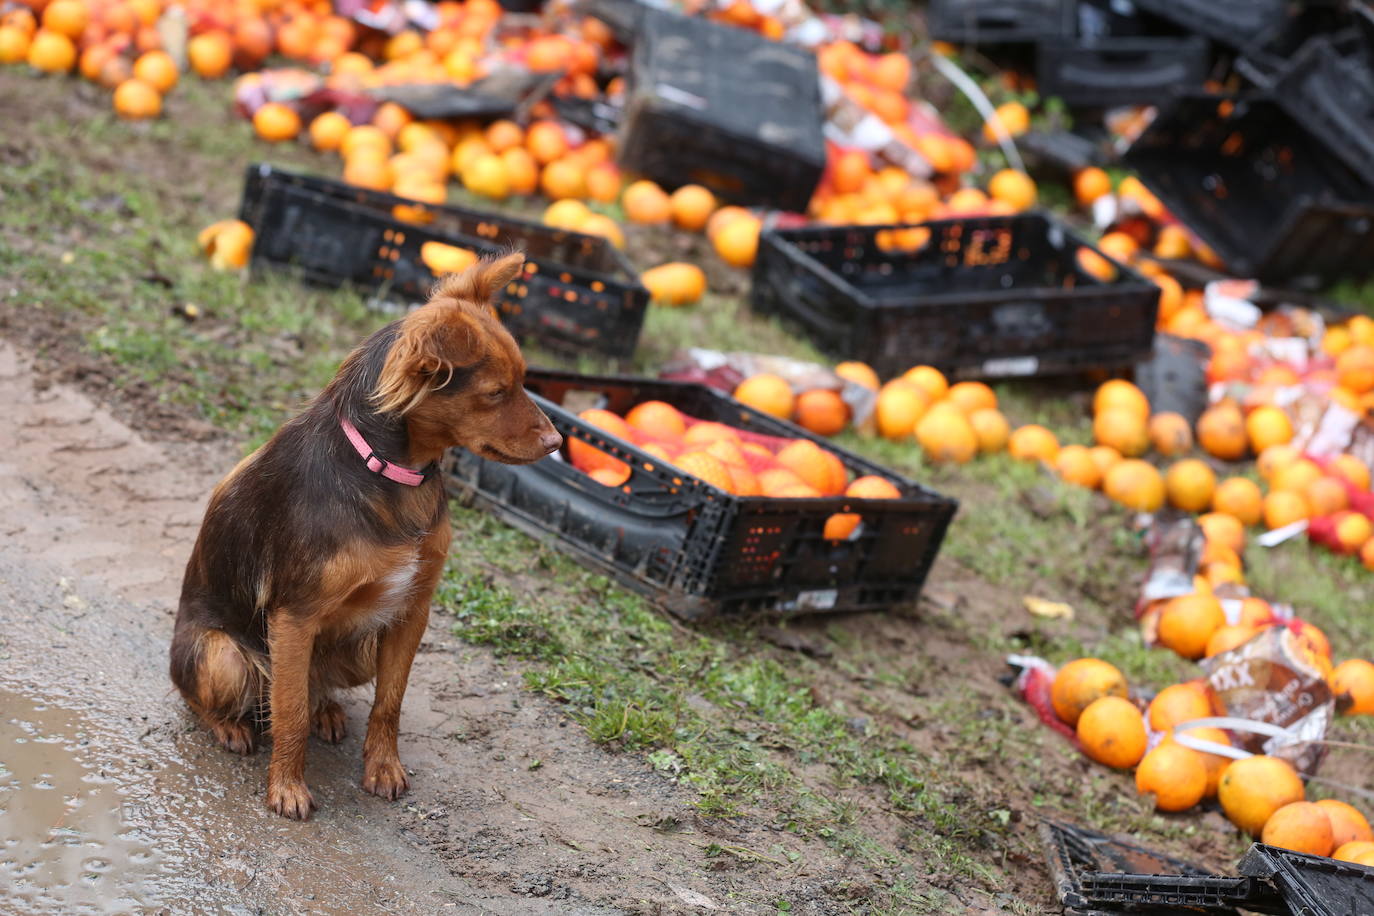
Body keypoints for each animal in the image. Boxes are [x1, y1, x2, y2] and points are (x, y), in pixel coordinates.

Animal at [170, 254, 557, 818]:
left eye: (525, 381)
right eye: (495, 393)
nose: (557, 442)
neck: (389, 471)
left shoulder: (410, 610)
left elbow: (388, 703)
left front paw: (383, 768)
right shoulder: (294, 617)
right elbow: (288, 713)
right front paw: (287, 787)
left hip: (353, 649)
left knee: (314, 686)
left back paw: (327, 710)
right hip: (223, 657)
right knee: (222, 695)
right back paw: (231, 726)